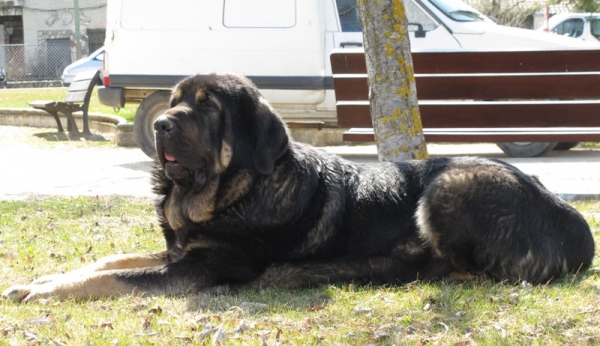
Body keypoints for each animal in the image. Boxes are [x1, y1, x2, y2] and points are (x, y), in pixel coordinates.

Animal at [3, 74, 596, 302]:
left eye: (207, 108)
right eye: (174, 100)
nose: (161, 124)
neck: (235, 193)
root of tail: (576, 227)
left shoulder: (198, 269)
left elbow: (115, 278)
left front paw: (46, 291)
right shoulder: (178, 253)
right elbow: (109, 263)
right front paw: (43, 279)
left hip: (452, 183)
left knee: (461, 271)